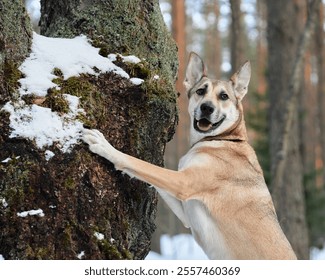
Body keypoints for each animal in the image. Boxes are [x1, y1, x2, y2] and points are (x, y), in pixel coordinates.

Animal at [83, 51, 296, 260]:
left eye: (224, 96)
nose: (207, 108)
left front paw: (106, 148)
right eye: (201, 91)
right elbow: (149, 170)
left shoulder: (184, 183)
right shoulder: (186, 211)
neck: (224, 139)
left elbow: (142, 165)